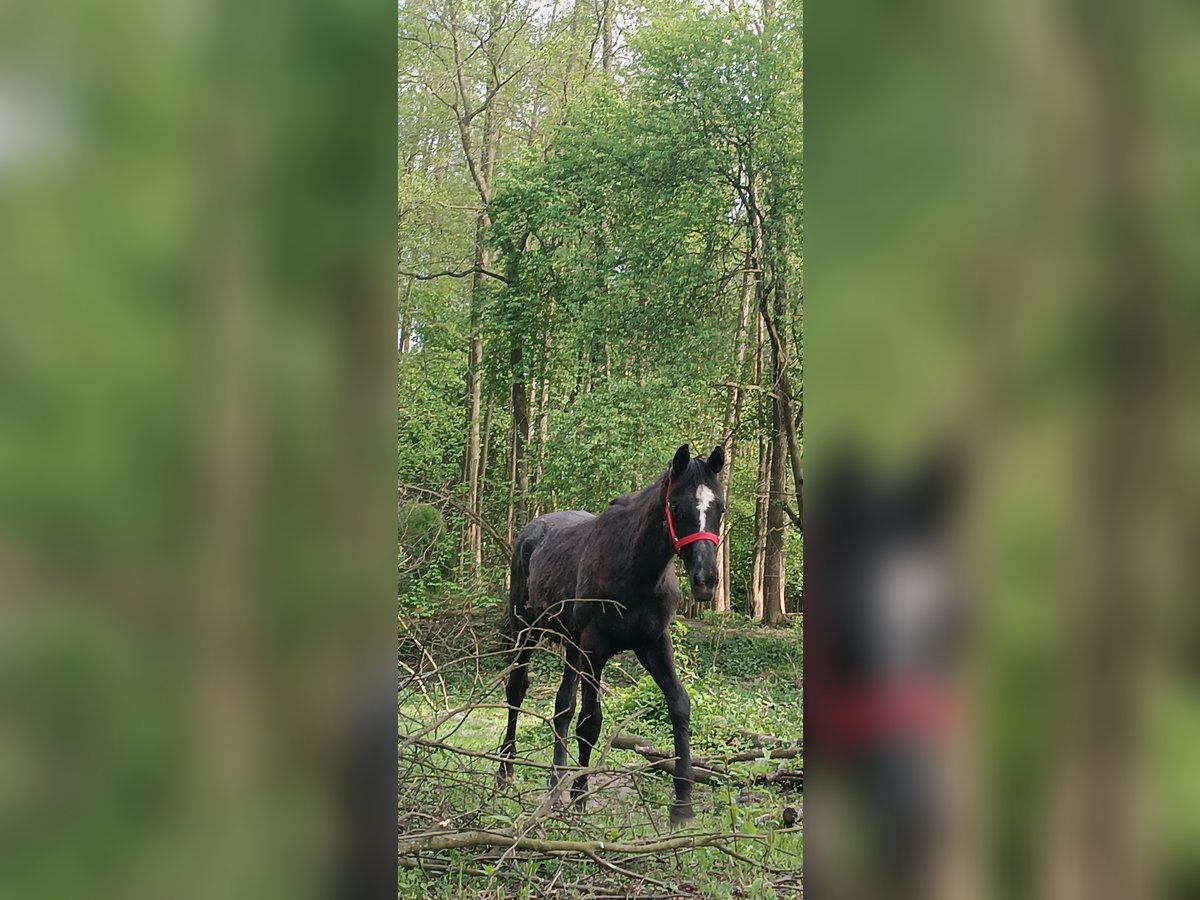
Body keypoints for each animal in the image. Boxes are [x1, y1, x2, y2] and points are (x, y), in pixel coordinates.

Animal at [494, 441, 724, 830]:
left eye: (720, 507)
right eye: (677, 507)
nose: (706, 580)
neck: (637, 570)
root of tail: (531, 531)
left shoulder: (653, 644)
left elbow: (679, 705)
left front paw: (682, 802)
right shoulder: (595, 648)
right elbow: (590, 722)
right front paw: (580, 798)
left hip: (571, 646)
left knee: (561, 706)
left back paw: (555, 780)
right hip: (527, 631)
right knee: (516, 692)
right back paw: (506, 772)